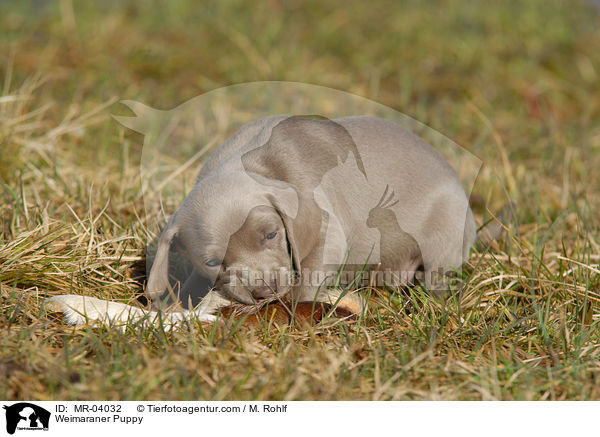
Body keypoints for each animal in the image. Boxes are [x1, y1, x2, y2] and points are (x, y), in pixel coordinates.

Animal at [47, 114, 476, 326]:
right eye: (214, 260)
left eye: (271, 235)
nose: (264, 293)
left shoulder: (327, 235)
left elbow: (306, 283)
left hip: (443, 240)